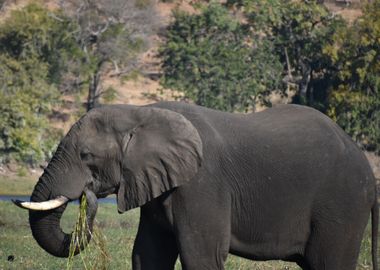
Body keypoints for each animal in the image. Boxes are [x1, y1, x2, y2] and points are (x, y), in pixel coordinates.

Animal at [14, 102, 378, 270]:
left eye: (86, 155)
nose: (86, 194)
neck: (141, 112)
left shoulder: (202, 185)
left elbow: (201, 254)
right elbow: (148, 254)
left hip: (342, 206)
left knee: (329, 262)